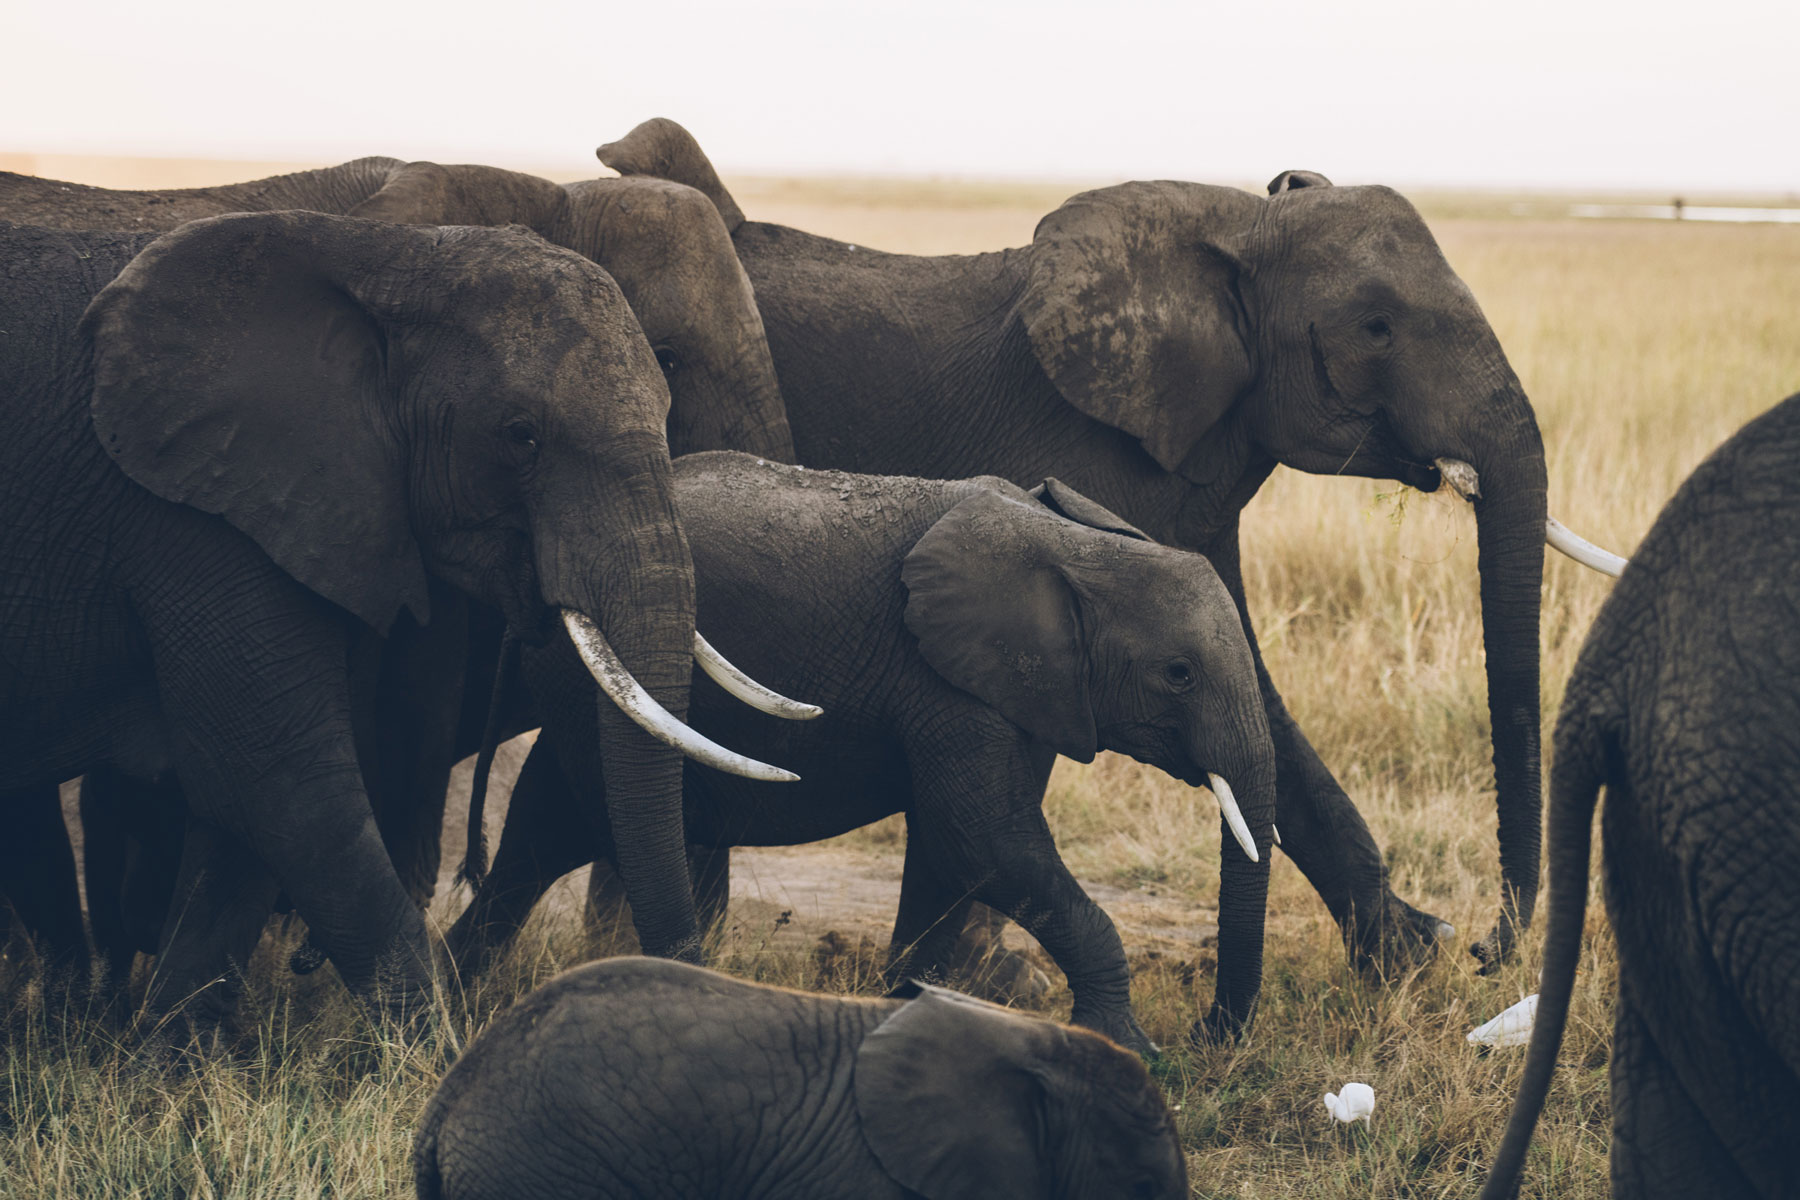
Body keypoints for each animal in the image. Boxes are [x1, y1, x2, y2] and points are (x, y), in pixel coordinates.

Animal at [450, 449, 1281, 1050]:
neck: (1078, 548)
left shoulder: (1003, 686)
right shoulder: (945, 678)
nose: (1207, 1033)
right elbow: (984, 839)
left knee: (540, 833)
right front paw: (1129, 1048)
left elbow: (955, 852)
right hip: (590, 681)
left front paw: (915, 1020)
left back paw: (451, 1004)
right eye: (1178, 675)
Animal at [597, 116, 1627, 971]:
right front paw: (965, 979)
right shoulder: (1071, 450)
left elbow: (1249, 683)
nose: (1486, 947)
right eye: (1375, 328)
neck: (1236, 227)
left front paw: (1405, 963)